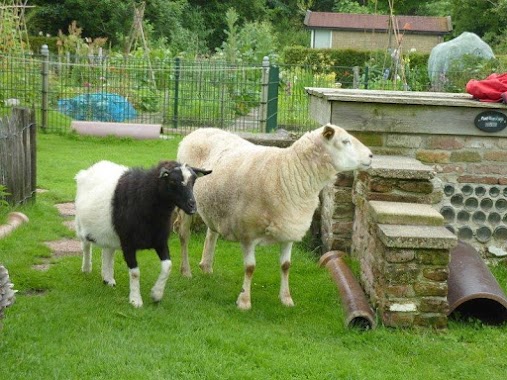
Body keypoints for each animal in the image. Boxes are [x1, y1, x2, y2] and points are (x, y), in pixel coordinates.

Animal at [75, 159, 210, 308]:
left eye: (194, 181)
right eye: (172, 181)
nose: (192, 206)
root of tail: (93, 167)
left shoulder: (160, 241)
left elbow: (167, 266)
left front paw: (156, 294)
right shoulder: (128, 243)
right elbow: (135, 273)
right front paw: (136, 301)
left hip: (110, 231)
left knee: (108, 251)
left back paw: (108, 278)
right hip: (81, 225)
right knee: (86, 245)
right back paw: (86, 268)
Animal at [175, 123, 374, 310]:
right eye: (345, 141)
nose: (371, 155)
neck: (288, 174)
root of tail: (198, 131)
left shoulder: (289, 229)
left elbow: (286, 266)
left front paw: (286, 299)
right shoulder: (248, 233)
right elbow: (250, 268)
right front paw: (244, 301)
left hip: (215, 205)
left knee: (212, 232)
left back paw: (207, 267)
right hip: (187, 203)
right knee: (184, 234)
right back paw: (186, 271)